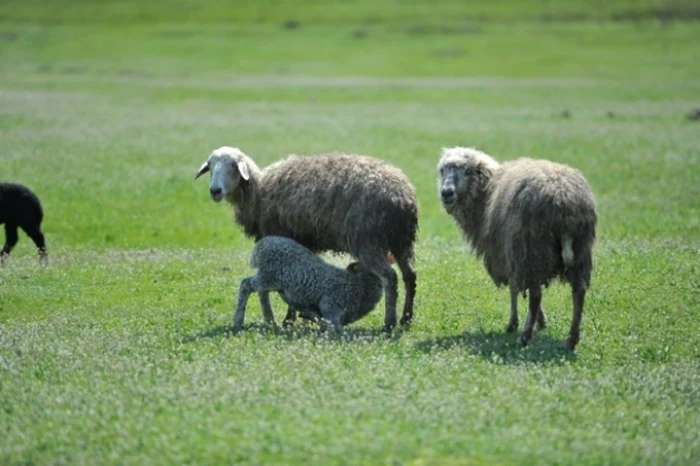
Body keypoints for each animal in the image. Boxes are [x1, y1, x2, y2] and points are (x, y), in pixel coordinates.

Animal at [234, 235, 386, 330]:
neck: (357, 286)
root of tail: (262, 245)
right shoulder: (329, 304)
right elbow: (335, 327)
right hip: (269, 277)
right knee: (245, 285)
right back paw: (238, 320)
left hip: (268, 278)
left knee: (262, 292)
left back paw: (270, 320)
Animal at [438, 147, 596, 352]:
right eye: (442, 171)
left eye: (467, 171)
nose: (446, 193)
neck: (486, 194)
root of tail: (565, 200)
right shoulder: (511, 255)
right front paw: (540, 321)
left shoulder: (505, 252)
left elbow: (514, 288)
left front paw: (516, 323)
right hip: (578, 252)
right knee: (579, 292)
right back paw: (571, 339)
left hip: (532, 248)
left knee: (536, 294)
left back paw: (525, 337)